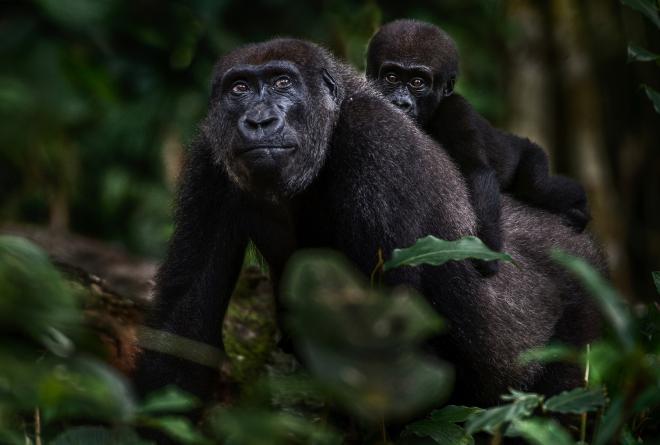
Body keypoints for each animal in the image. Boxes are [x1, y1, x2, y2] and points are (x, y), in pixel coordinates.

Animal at [366, 19, 591, 276]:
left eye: (417, 83)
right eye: (391, 77)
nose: (401, 103)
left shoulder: (456, 111)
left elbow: (477, 171)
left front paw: (487, 253)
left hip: (532, 153)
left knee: (537, 186)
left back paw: (579, 202)